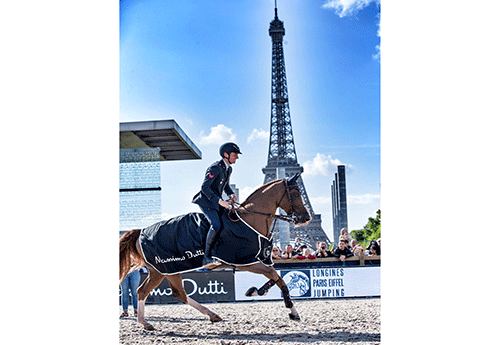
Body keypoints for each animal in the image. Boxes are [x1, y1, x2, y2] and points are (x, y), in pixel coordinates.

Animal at [118, 173, 310, 330]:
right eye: (295, 193)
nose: (306, 218)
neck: (250, 219)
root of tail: (141, 232)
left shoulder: (259, 260)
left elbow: (276, 277)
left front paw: (256, 292)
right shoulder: (247, 262)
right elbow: (278, 278)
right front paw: (291, 311)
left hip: (169, 270)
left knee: (178, 293)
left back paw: (212, 315)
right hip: (161, 270)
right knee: (142, 292)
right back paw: (144, 322)